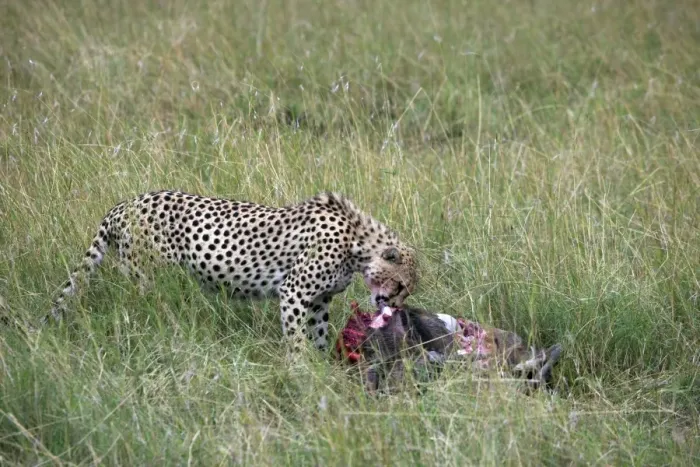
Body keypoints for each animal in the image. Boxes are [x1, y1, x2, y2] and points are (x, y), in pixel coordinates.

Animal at [45, 190, 419, 354]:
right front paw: (301, 369)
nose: (396, 306)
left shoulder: (319, 300)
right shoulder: (294, 292)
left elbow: (318, 334)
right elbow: (296, 337)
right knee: (142, 312)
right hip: (150, 279)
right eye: (401, 285)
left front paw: (322, 363)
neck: (357, 244)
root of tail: (124, 203)